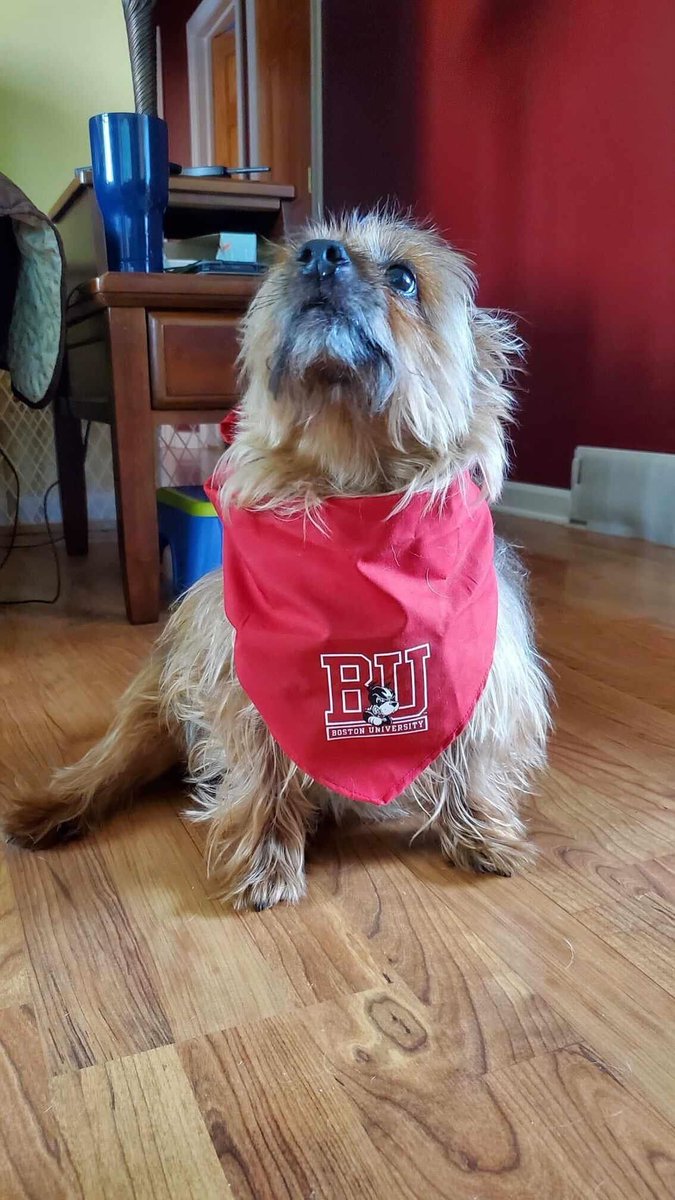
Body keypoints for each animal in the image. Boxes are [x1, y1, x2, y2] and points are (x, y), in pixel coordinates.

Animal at [3, 216, 547, 907]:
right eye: (299, 252)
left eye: (404, 278)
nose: (317, 256)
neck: (349, 490)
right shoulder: (247, 682)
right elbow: (263, 768)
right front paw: (266, 857)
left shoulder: (478, 667)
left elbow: (470, 755)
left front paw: (479, 832)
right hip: (153, 705)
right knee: (112, 759)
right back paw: (53, 805)